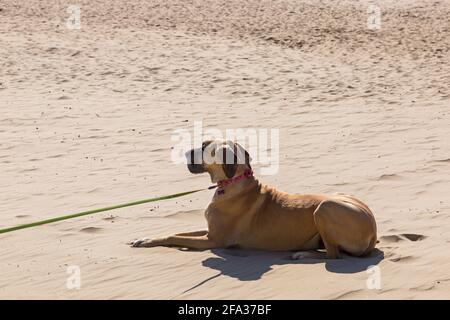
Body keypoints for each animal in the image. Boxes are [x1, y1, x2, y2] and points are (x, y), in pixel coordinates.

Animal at [129, 139, 376, 258]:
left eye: (204, 146)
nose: (186, 152)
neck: (231, 183)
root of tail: (373, 231)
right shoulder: (209, 231)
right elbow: (177, 232)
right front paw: (147, 239)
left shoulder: (213, 240)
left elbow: (175, 236)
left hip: (325, 207)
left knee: (334, 255)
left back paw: (303, 254)